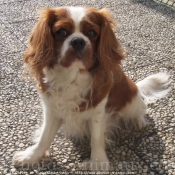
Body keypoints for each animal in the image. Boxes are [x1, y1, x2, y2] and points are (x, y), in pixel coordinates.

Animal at [13, 6, 170, 171]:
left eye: (92, 33)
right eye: (61, 32)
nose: (78, 41)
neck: (73, 77)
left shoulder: (98, 111)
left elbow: (96, 138)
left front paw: (98, 162)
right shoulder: (51, 109)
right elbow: (45, 137)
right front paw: (31, 157)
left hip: (132, 99)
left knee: (140, 109)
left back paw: (137, 121)